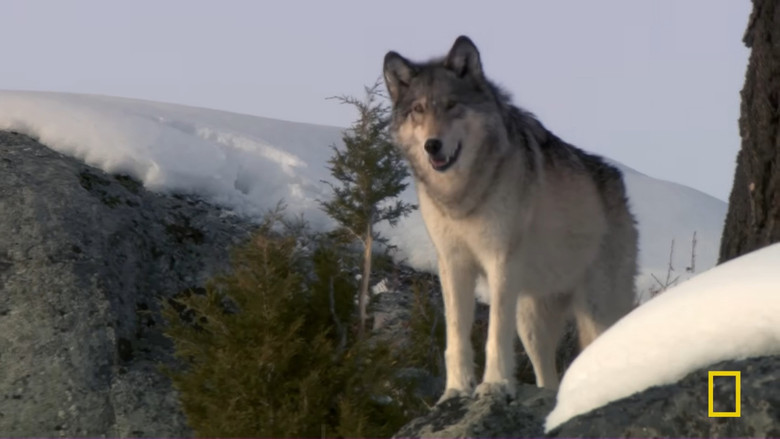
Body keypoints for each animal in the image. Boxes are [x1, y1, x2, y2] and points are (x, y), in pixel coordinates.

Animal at [383, 36, 638, 401]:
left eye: (451, 105)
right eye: (418, 110)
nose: (432, 145)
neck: (464, 195)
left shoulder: (499, 261)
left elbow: (495, 334)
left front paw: (495, 384)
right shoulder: (453, 263)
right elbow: (456, 337)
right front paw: (455, 390)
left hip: (597, 309)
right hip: (532, 321)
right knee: (547, 375)